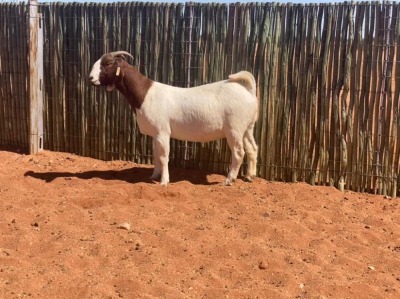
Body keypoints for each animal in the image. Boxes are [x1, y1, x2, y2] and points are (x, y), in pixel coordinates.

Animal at [88, 52, 258, 186]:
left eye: (107, 63)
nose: (90, 78)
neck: (145, 94)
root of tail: (249, 91)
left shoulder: (162, 131)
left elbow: (164, 156)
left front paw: (164, 181)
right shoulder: (155, 133)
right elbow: (156, 155)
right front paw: (154, 176)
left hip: (234, 128)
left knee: (239, 152)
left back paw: (229, 180)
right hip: (247, 128)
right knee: (252, 149)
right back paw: (249, 176)